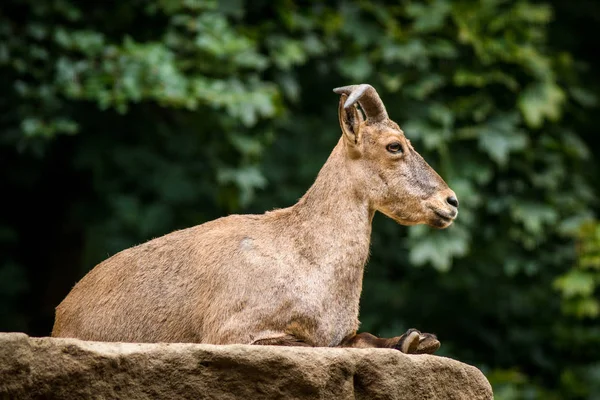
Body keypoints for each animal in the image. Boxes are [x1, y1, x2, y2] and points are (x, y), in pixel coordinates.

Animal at [54, 83, 460, 354]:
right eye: (394, 146)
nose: (451, 201)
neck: (308, 258)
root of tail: (62, 311)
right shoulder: (233, 331)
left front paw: (417, 339)